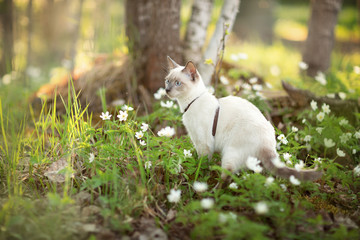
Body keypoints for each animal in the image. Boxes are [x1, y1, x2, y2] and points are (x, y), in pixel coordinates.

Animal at [165, 55, 322, 180]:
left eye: (178, 83)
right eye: (167, 81)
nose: (166, 90)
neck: (189, 104)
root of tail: (268, 142)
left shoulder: (204, 143)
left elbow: (202, 162)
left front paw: (198, 176)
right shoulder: (196, 140)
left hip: (230, 153)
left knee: (228, 176)